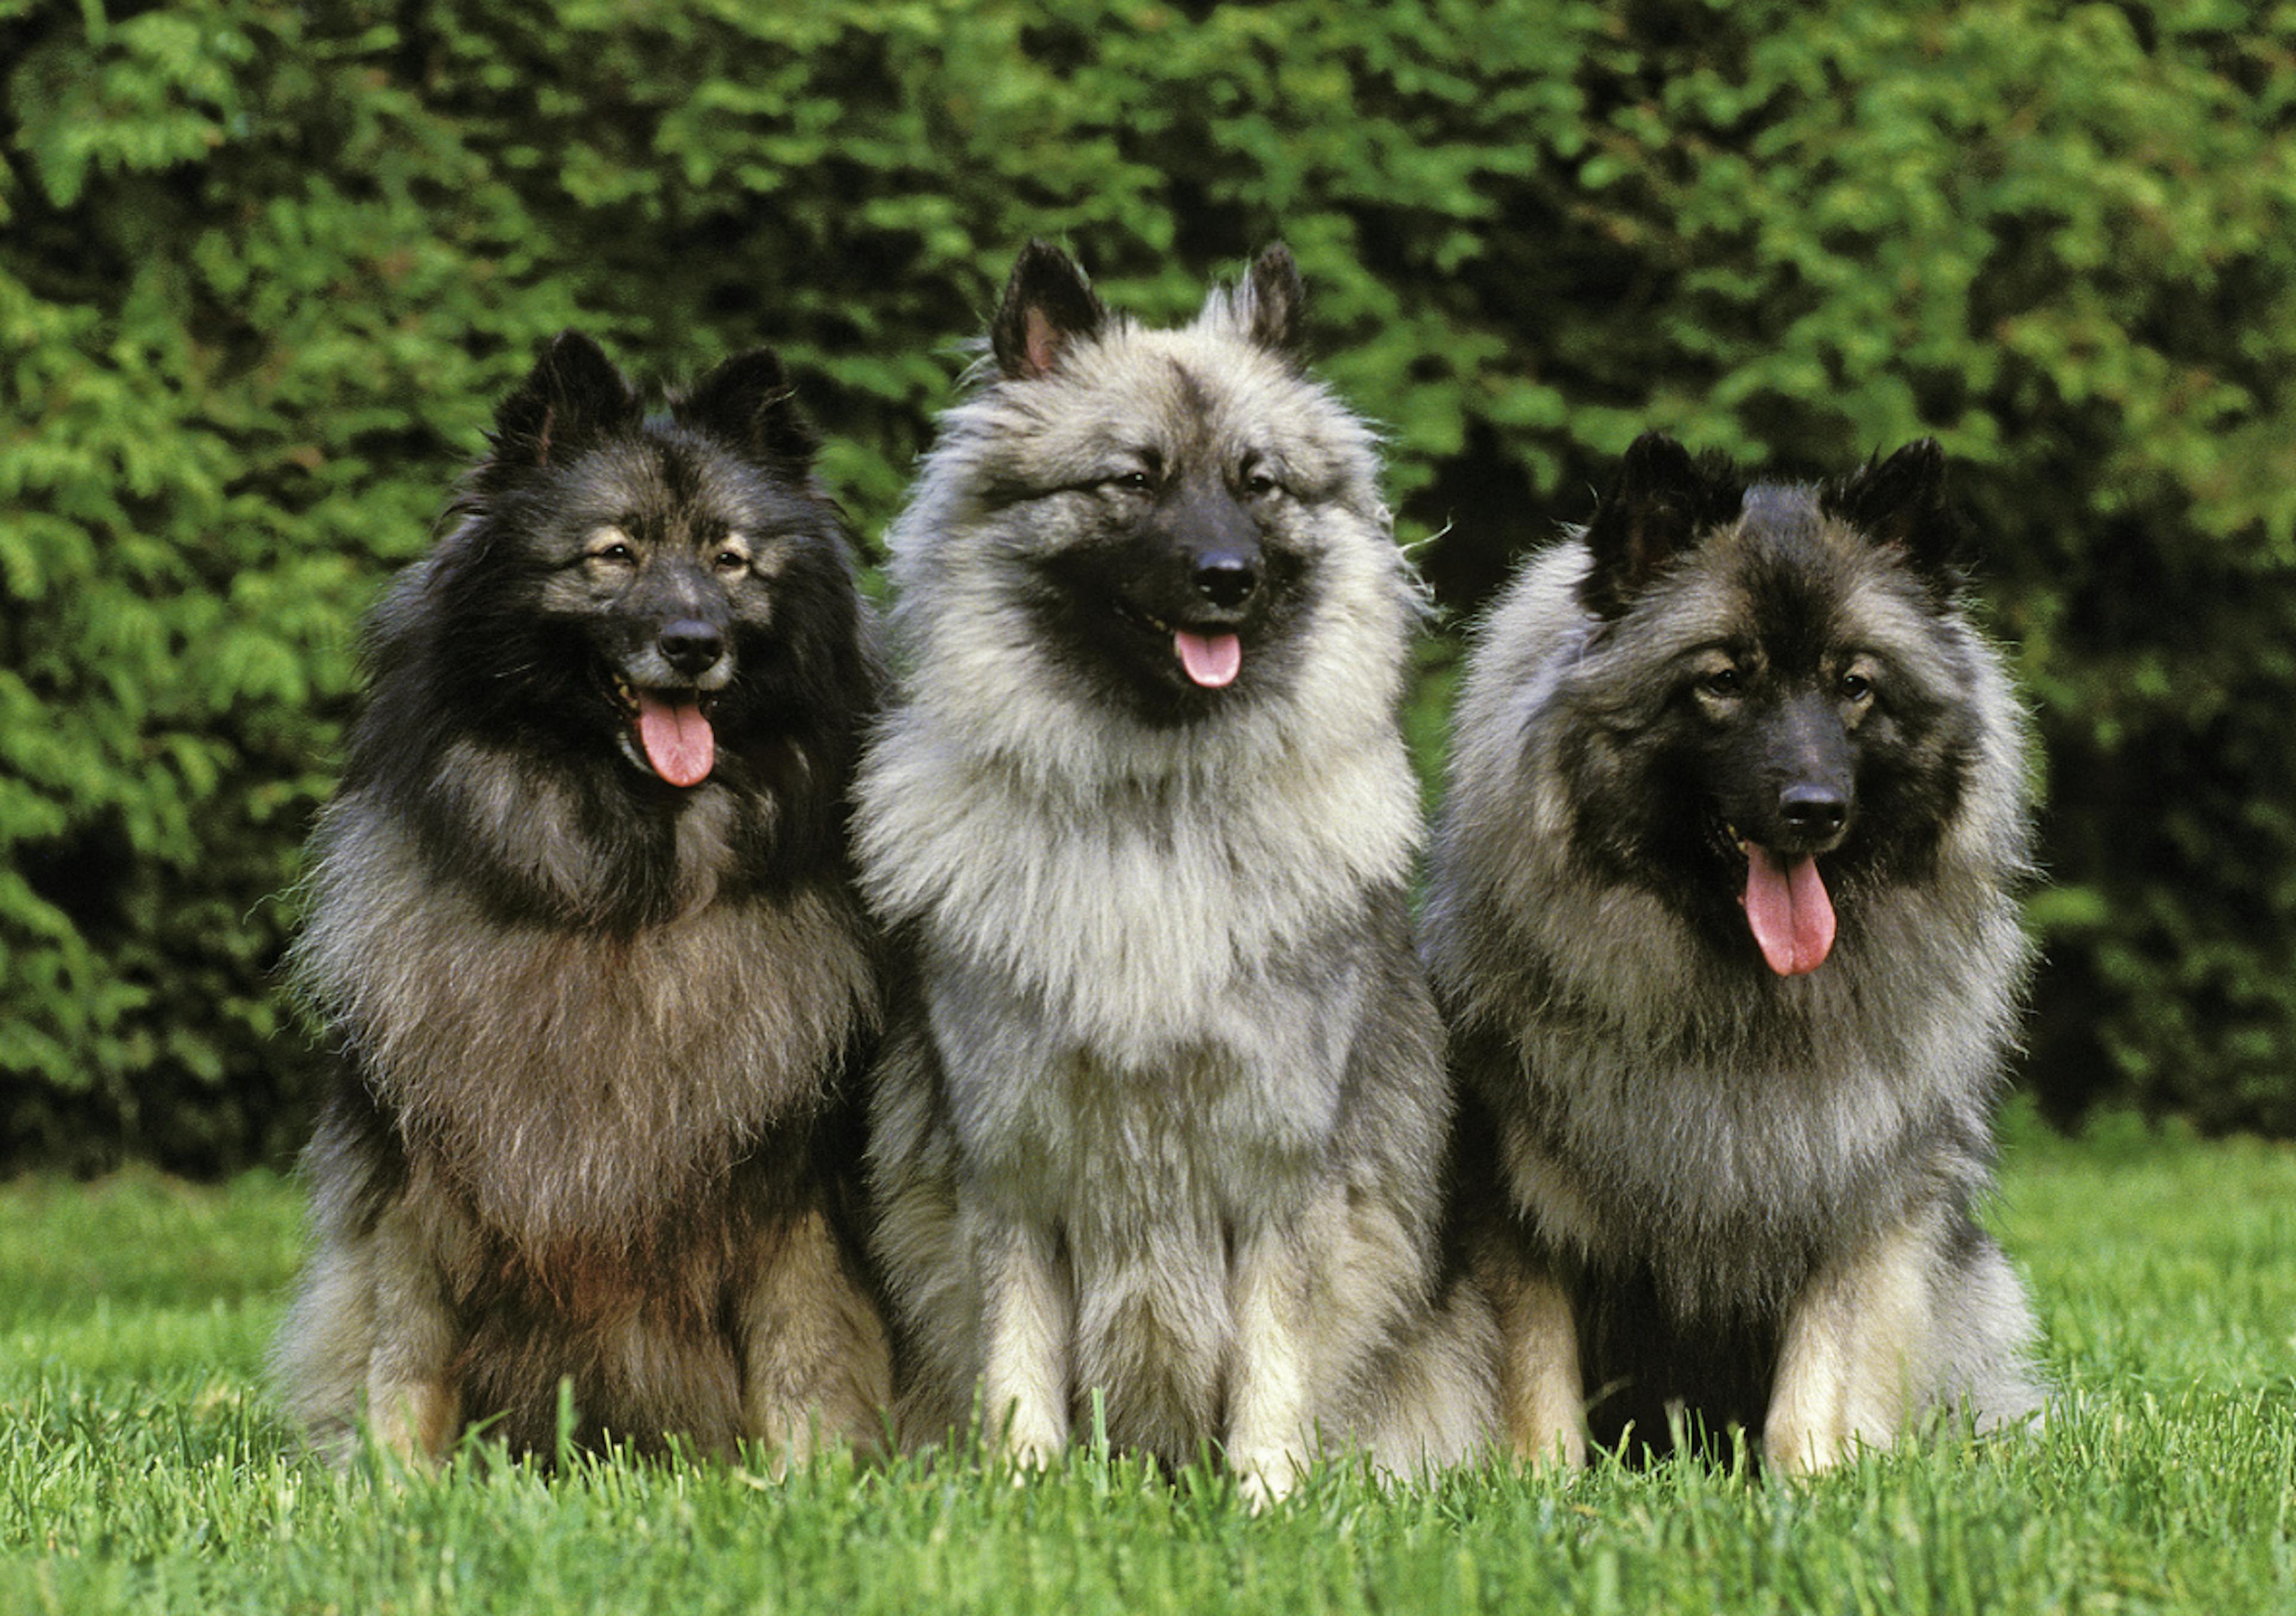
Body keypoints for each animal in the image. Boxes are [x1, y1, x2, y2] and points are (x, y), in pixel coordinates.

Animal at [264, 335, 881, 1469]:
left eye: (730, 560)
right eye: (614, 554)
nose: (693, 642)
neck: (622, 896)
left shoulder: (798, 1189)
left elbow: (806, 1355)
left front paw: (810, 1479)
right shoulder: (422, 1177)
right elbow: (405, 1352)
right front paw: (396, 1482)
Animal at [854, 240, 1497, 1505]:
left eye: (1259, 482)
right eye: (1133, 479)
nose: (1227, 576)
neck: (1154, 808)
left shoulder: (1281, 1169)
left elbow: (1274, 1360)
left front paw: (1265, 1500)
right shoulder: (1013, 1170)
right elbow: (1016, 1364)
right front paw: (1027, 1496)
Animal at [1423, 436, 2057, 1469]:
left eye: (1854, 685)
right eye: (1722, 680)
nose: (1815, 809)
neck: (1740, 998)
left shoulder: (1857, 1197)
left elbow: (1818, 1378)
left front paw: (1816, 1479)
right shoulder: (1517, 1200)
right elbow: (1537, 1375)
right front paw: (1539, 1484)